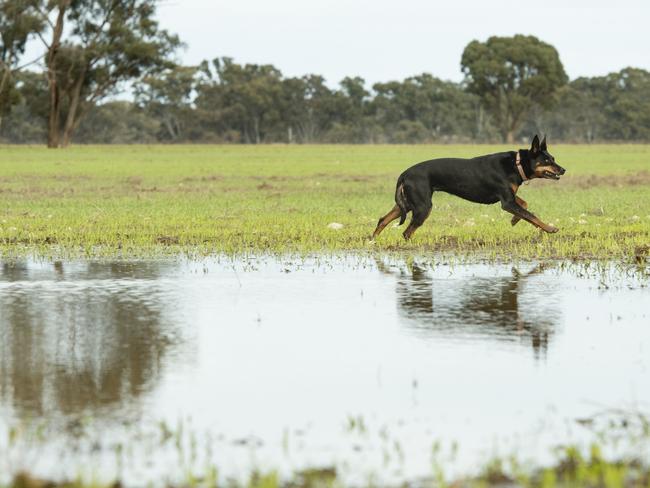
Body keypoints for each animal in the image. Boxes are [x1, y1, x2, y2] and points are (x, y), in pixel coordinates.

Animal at [372, 134, 564, 241]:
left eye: (553, 158)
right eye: (546, 160)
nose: (563, 169)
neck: (515, 164)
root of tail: (404, 174)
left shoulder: (509, 197)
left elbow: (524, 205)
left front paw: (514, 220)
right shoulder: (507, 202)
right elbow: (531, 215)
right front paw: (550, 228)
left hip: (407, 203)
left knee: (383, 220)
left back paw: (372, 241)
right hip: (422, 206)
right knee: (407, 232)